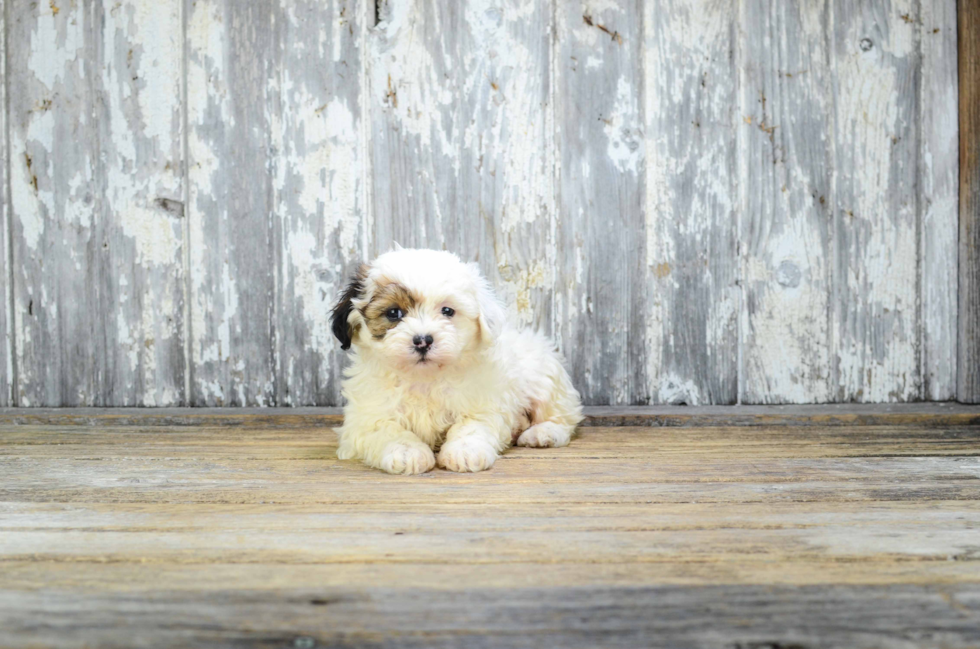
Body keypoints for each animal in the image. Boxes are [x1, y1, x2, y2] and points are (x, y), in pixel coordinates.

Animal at [334, 246, 584, 474]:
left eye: (447, 311)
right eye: (394, 313)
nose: (423, 340)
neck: (424, 378)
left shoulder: (483, 403)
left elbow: (471, 426)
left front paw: (465, 452)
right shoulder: (368, 416)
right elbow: (387, 430)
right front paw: (406, 452)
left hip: (544, 378)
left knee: (562, 417)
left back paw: (542, 433)